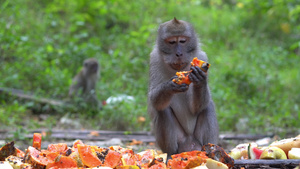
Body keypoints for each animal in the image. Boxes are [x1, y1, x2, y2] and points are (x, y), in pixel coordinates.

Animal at [147, 17, 218, 158]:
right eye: (172, 42)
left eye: (183, 41)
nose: (179, 53)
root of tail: (190, 145)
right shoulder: (154, 59)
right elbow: (153, 99)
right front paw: (170, 87)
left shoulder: (202, 56)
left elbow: (196, 107)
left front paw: (200, 80)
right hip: (179, 141)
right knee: (163, 109)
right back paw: (170, 154)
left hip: (198, 140)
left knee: (208, 106)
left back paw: (210, 150)